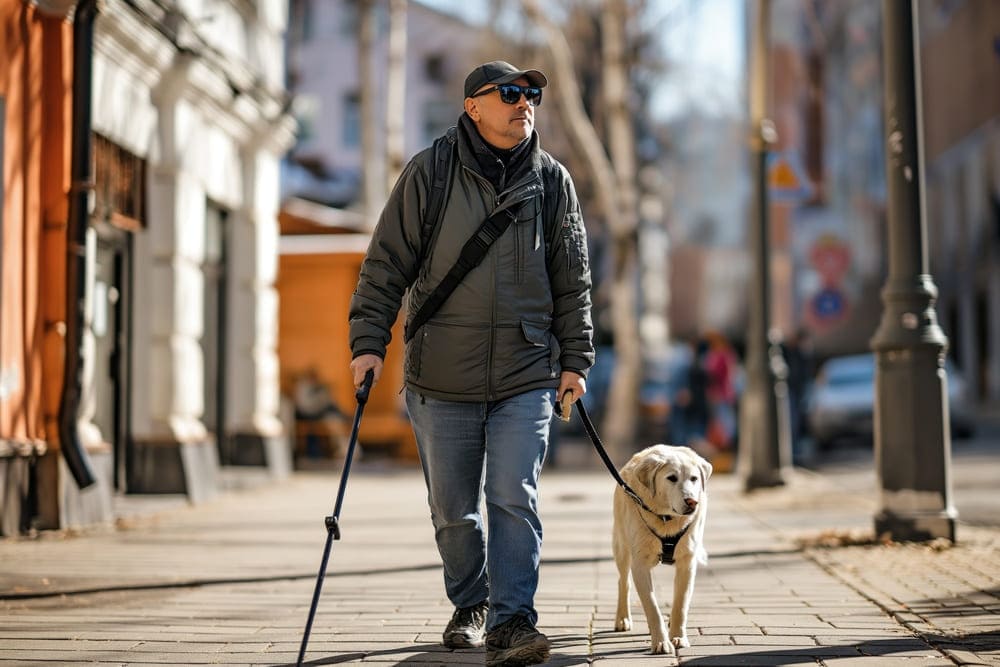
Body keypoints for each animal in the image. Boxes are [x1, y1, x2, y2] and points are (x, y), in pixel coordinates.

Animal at [608, 446, 712, 656]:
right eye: (671, 478)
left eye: (694, 478)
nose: (692, 502)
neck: (667, 519)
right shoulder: (640, 565)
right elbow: (652, 607)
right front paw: (661, 642)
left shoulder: (687, 564)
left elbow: (680, 604)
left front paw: (678, 636)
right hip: (622, 548)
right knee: (623, 582)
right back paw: (623, 618)